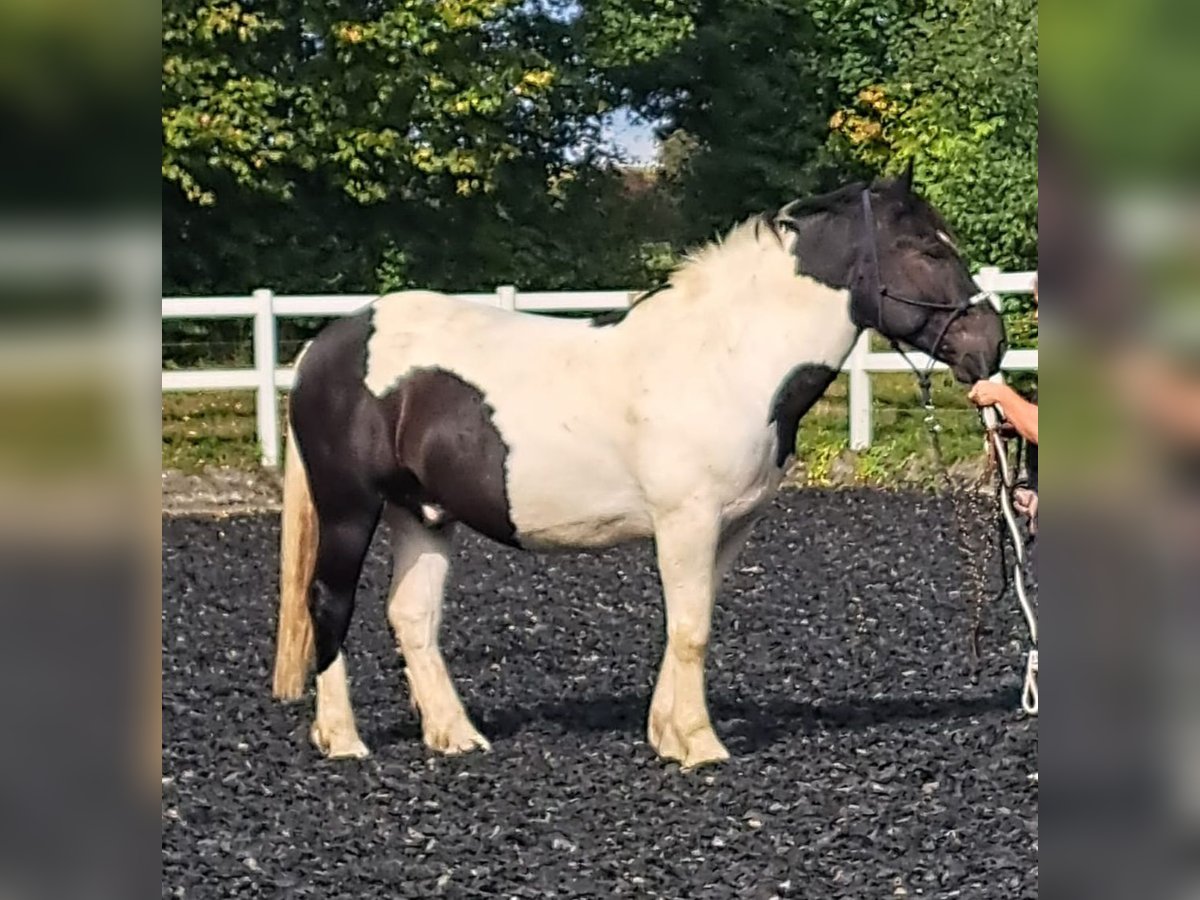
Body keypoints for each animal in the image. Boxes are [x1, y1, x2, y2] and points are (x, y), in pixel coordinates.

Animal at [270, 167, 1008, 770]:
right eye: (929, 249)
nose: (991, 346)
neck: (728, 359)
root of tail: (326, 344)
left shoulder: (727, 527)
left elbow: (689, 622)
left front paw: (667, 735)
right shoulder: (687, 520)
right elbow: (691, 629)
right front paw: (701, 746)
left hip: (422, 514)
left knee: (413, 616)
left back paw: (455, 736)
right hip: (350, 509)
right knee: (329, 602)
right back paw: (343, 739)